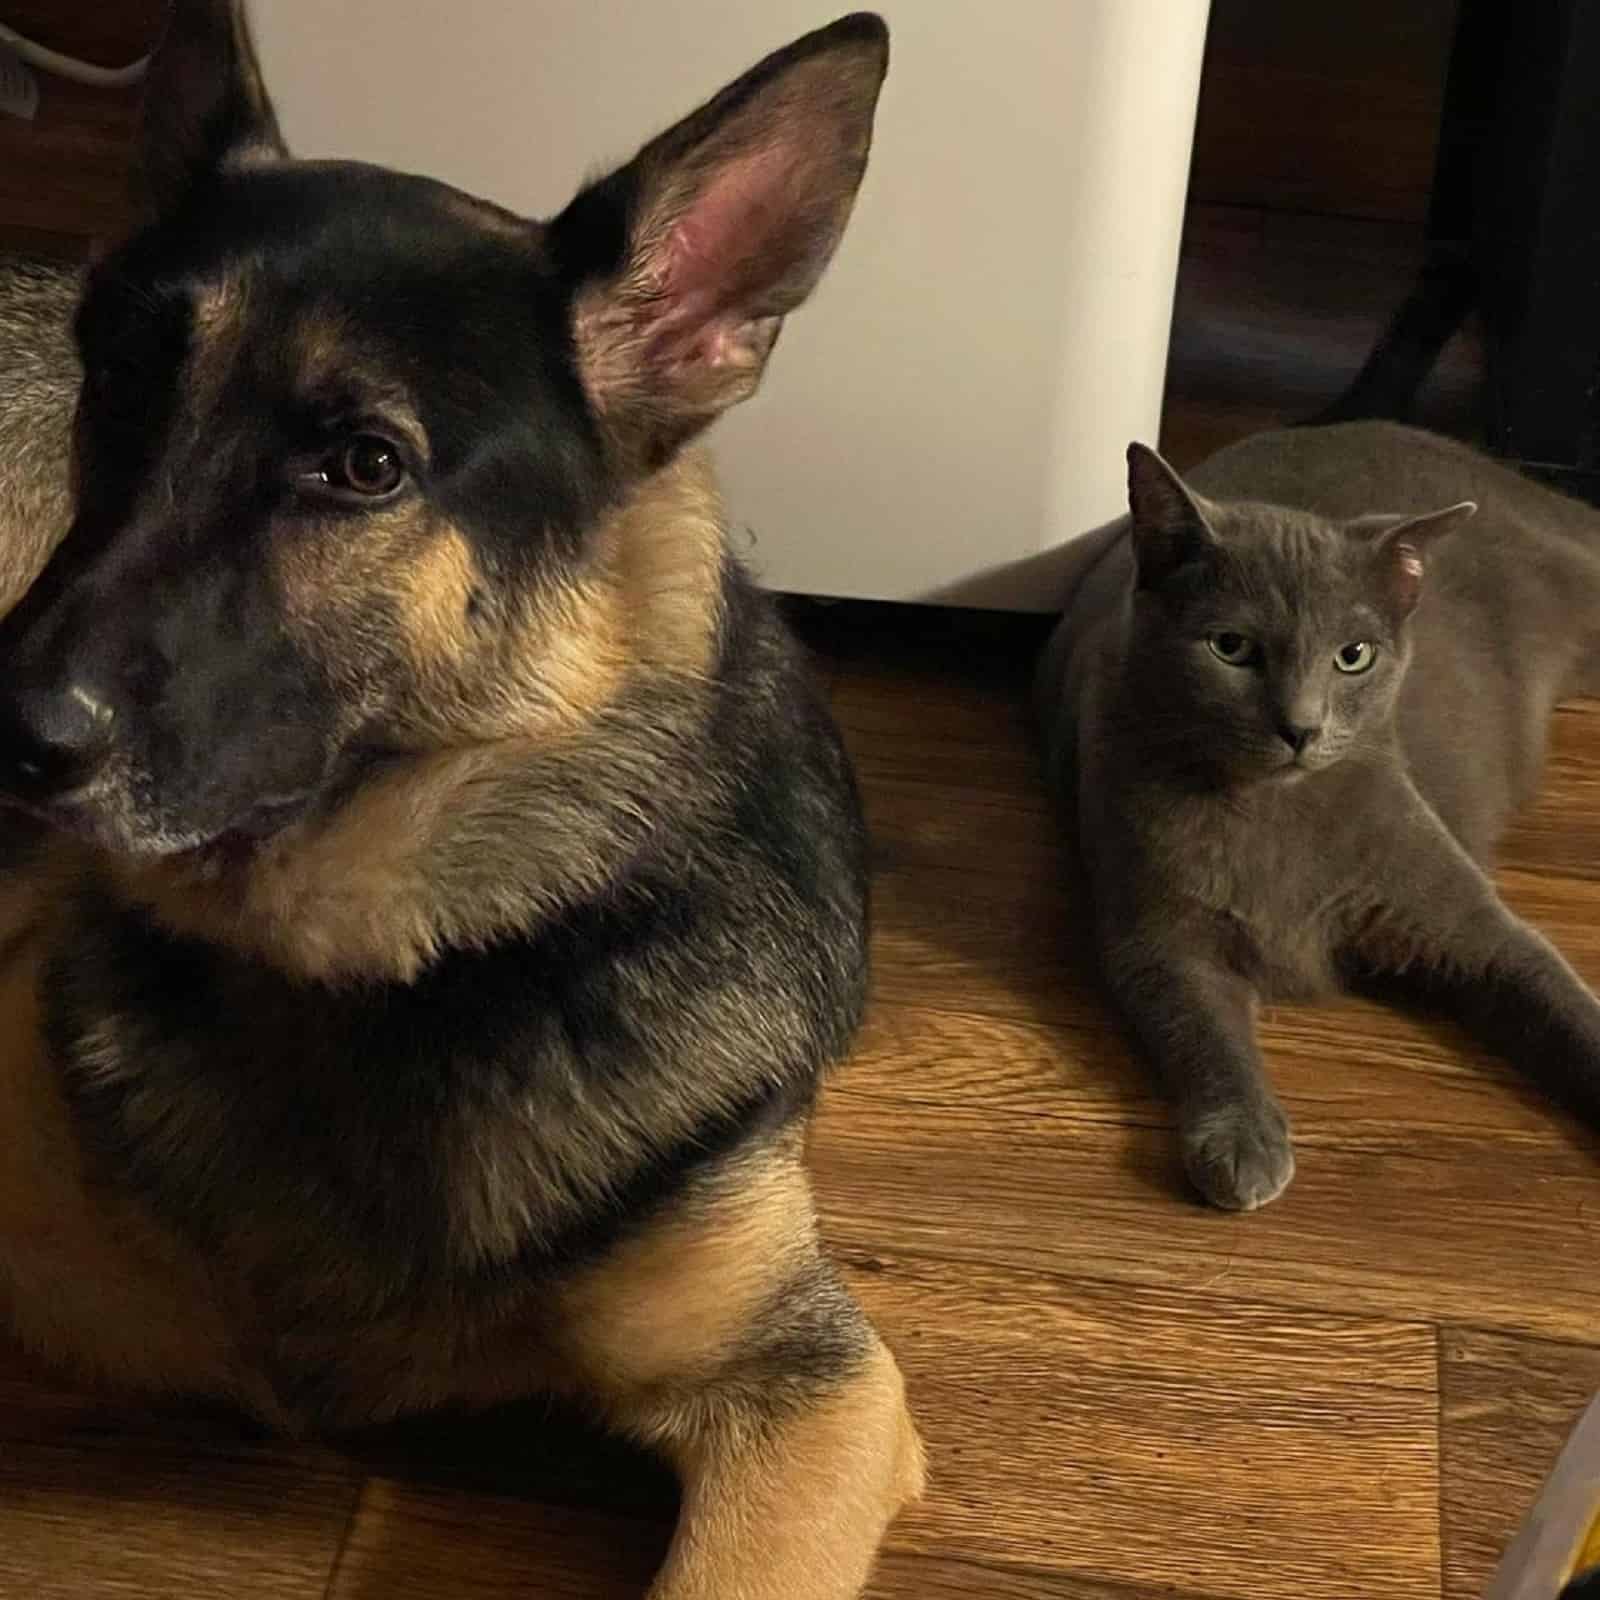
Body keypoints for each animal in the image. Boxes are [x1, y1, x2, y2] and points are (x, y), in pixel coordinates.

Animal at [1036, 419, 1600, 1203]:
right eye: (1231, 647)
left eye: (1353, 655)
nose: (1300, 727)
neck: (1270, 810)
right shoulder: (1154, 931)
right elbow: (1196, 1024)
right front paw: (1243, 1144)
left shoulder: (1469, 924)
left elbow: (1551, 991)